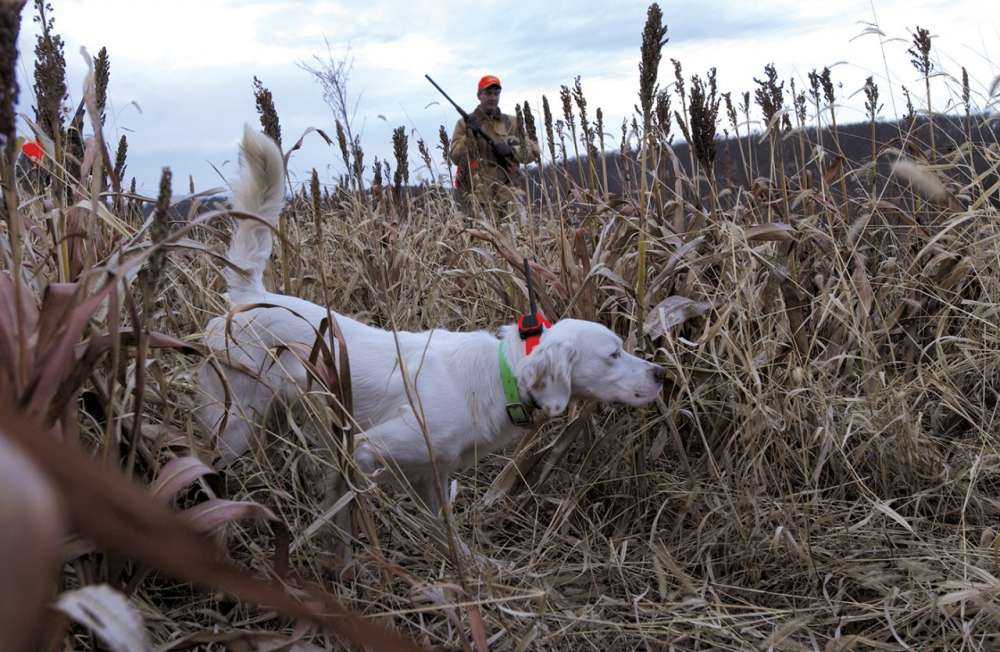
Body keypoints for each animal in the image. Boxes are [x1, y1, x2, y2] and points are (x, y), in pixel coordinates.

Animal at [197, 126, 666, 514]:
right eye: (613, 354)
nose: (661, 373)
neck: (500, 373)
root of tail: (251, 298)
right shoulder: (367, 450)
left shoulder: (433, 472)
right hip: (234, 422)